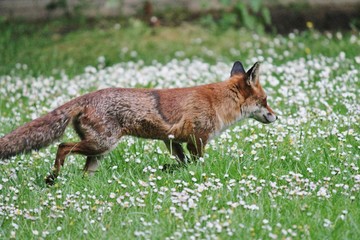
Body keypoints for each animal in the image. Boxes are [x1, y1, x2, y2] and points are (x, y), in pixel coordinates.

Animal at [0, 61, 278, 185]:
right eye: (265, 100)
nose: (277, 116)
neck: (218, 102)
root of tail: (87, 96)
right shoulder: (197, 140)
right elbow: (196, 164)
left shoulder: (172, 141)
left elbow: (182, 164)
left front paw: (170, 170)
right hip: (101, 144)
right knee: (62, 147)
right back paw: (53, 177)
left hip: (99, 152)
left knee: (83, 171)